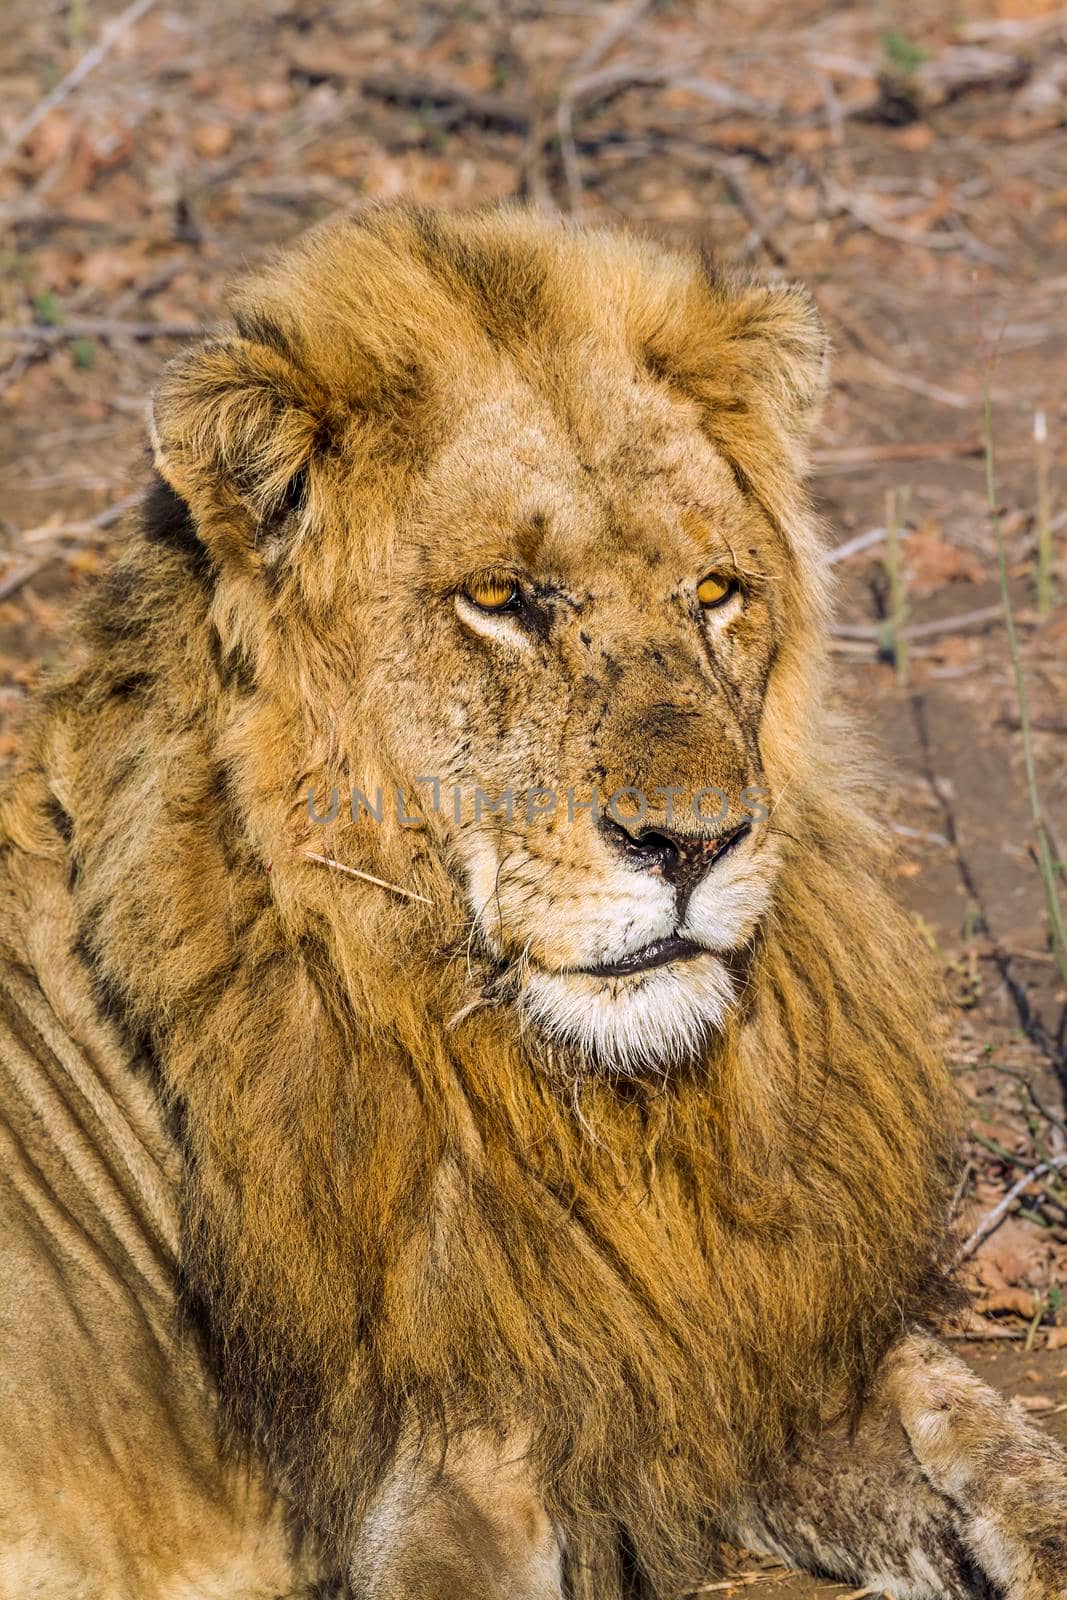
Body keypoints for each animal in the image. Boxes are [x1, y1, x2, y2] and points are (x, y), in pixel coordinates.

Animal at [2, 203, 1067, 1600]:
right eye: (499, 600)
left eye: (714, 592)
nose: (692, 842)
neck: (598, 1117)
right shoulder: (437, 1465)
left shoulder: (725, 1340)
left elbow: (983, 1429)